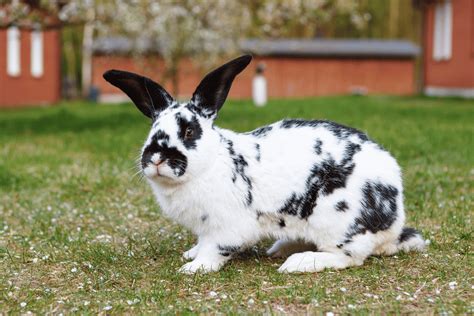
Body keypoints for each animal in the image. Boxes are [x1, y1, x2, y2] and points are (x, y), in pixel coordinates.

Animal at [103, 55, 426, 274]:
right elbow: (201, 242)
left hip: (337, 221)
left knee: (349, 257)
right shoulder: (204, 227)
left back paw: (298, 262)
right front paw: (190, 255)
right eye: (152, 130)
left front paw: (195, 267)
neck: (211, 164)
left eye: (189, 132)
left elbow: (215, 249)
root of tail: (394, 223)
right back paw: (279, 249)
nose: (156, 157)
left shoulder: (226, 227)